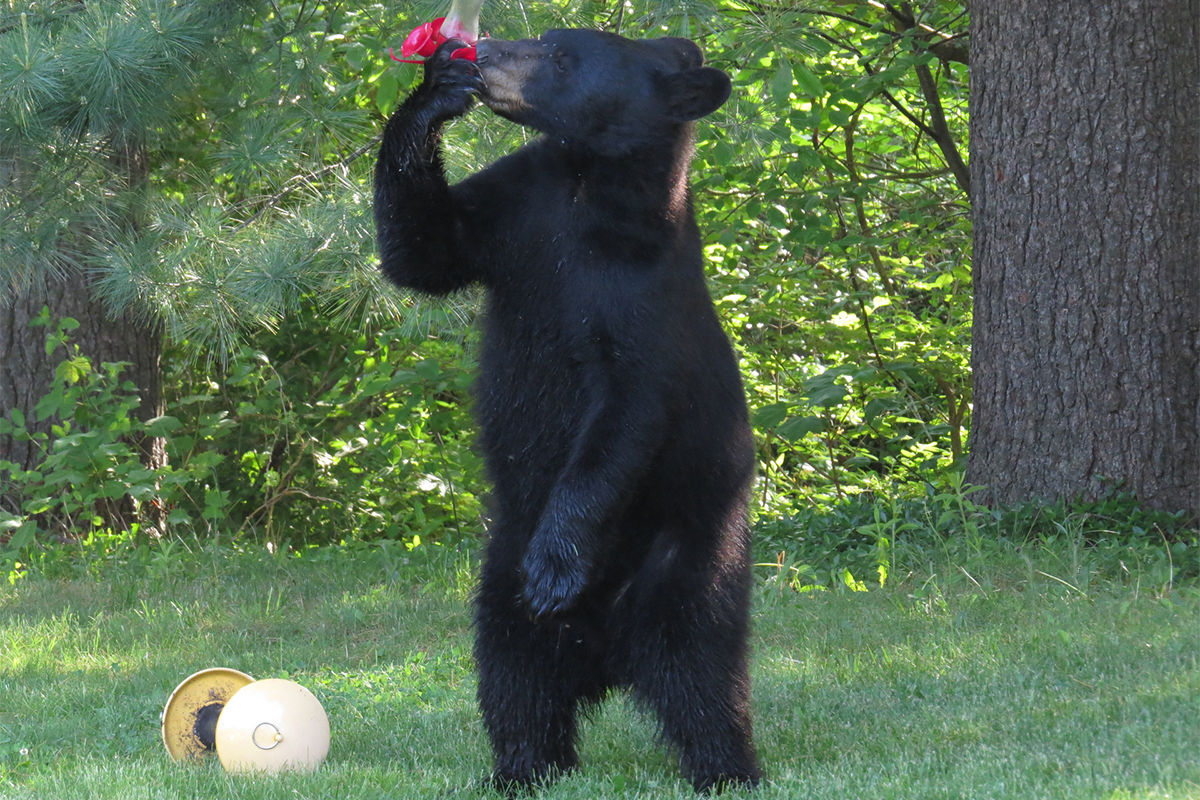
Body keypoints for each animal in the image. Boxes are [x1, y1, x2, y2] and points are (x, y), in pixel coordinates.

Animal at [374, 28, 758, 791]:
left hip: (690, 557)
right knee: (513, 673)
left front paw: (557, 565)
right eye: (549, 39)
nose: (488, 54)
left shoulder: (643, 299)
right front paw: (436, 88)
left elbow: (624, 416)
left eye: (561, 56)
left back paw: (727, 768)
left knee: (699, 670)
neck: (589, 190)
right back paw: (522, 768)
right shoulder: (517, 209)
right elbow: (426, 250)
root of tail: (606, 656)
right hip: (500, 573)